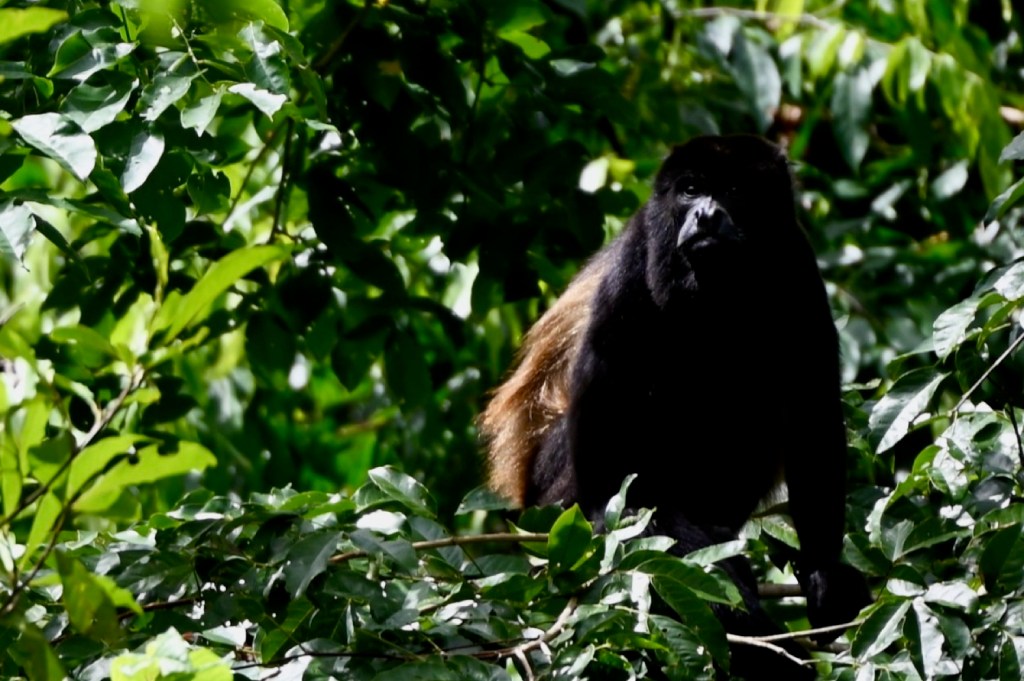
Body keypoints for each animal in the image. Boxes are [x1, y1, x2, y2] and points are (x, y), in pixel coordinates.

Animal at [480, 135, 870, 679]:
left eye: (733, 190)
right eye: (690, 190)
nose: (705, 214)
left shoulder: (797, 262)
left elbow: (812, 408)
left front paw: (826, 578)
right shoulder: (638, 251)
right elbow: (604, 389)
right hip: (550, 496)